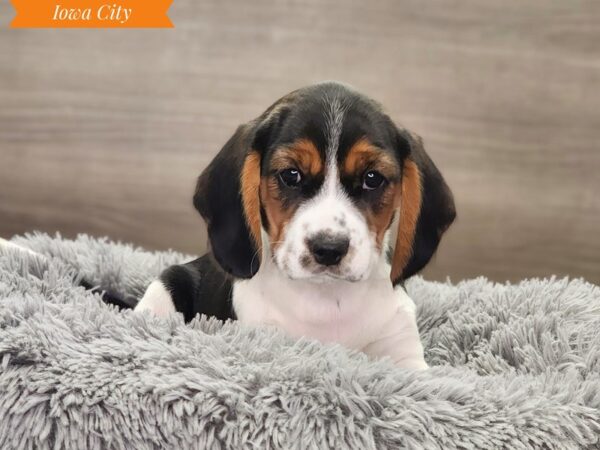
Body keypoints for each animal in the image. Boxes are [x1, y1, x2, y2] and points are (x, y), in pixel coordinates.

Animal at [136, 81, 454, 370]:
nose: (328, 249)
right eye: (291, 175)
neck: (326, 300)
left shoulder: (405, 356)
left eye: (372, 178)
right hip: (164, 288)